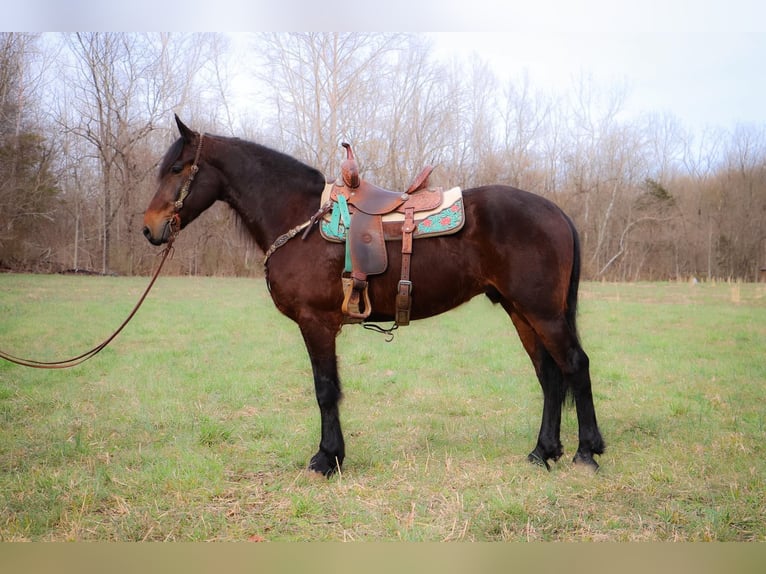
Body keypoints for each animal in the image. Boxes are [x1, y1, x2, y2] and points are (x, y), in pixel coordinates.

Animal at [142, 116, 608, 476]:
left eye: (178, 167)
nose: (149, 228)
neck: (300, 219)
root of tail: (556, 212)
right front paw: (332, 456)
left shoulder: (316, 324)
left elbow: (325, 390)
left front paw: (327, 459)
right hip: (520, 311)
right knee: (549, 375)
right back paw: (542, 452)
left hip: (543, 312)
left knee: (575, 365)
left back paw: (586, 453)